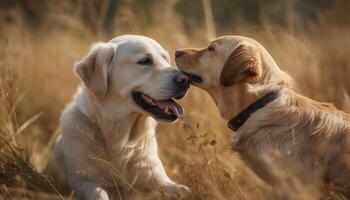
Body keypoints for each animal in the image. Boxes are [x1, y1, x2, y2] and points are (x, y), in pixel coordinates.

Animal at [50, 34, 350, 198]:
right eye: (145, 61)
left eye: (212, 49)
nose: (178, 52)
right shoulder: (84, 180)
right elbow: (100, 192)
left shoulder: (297, 185)